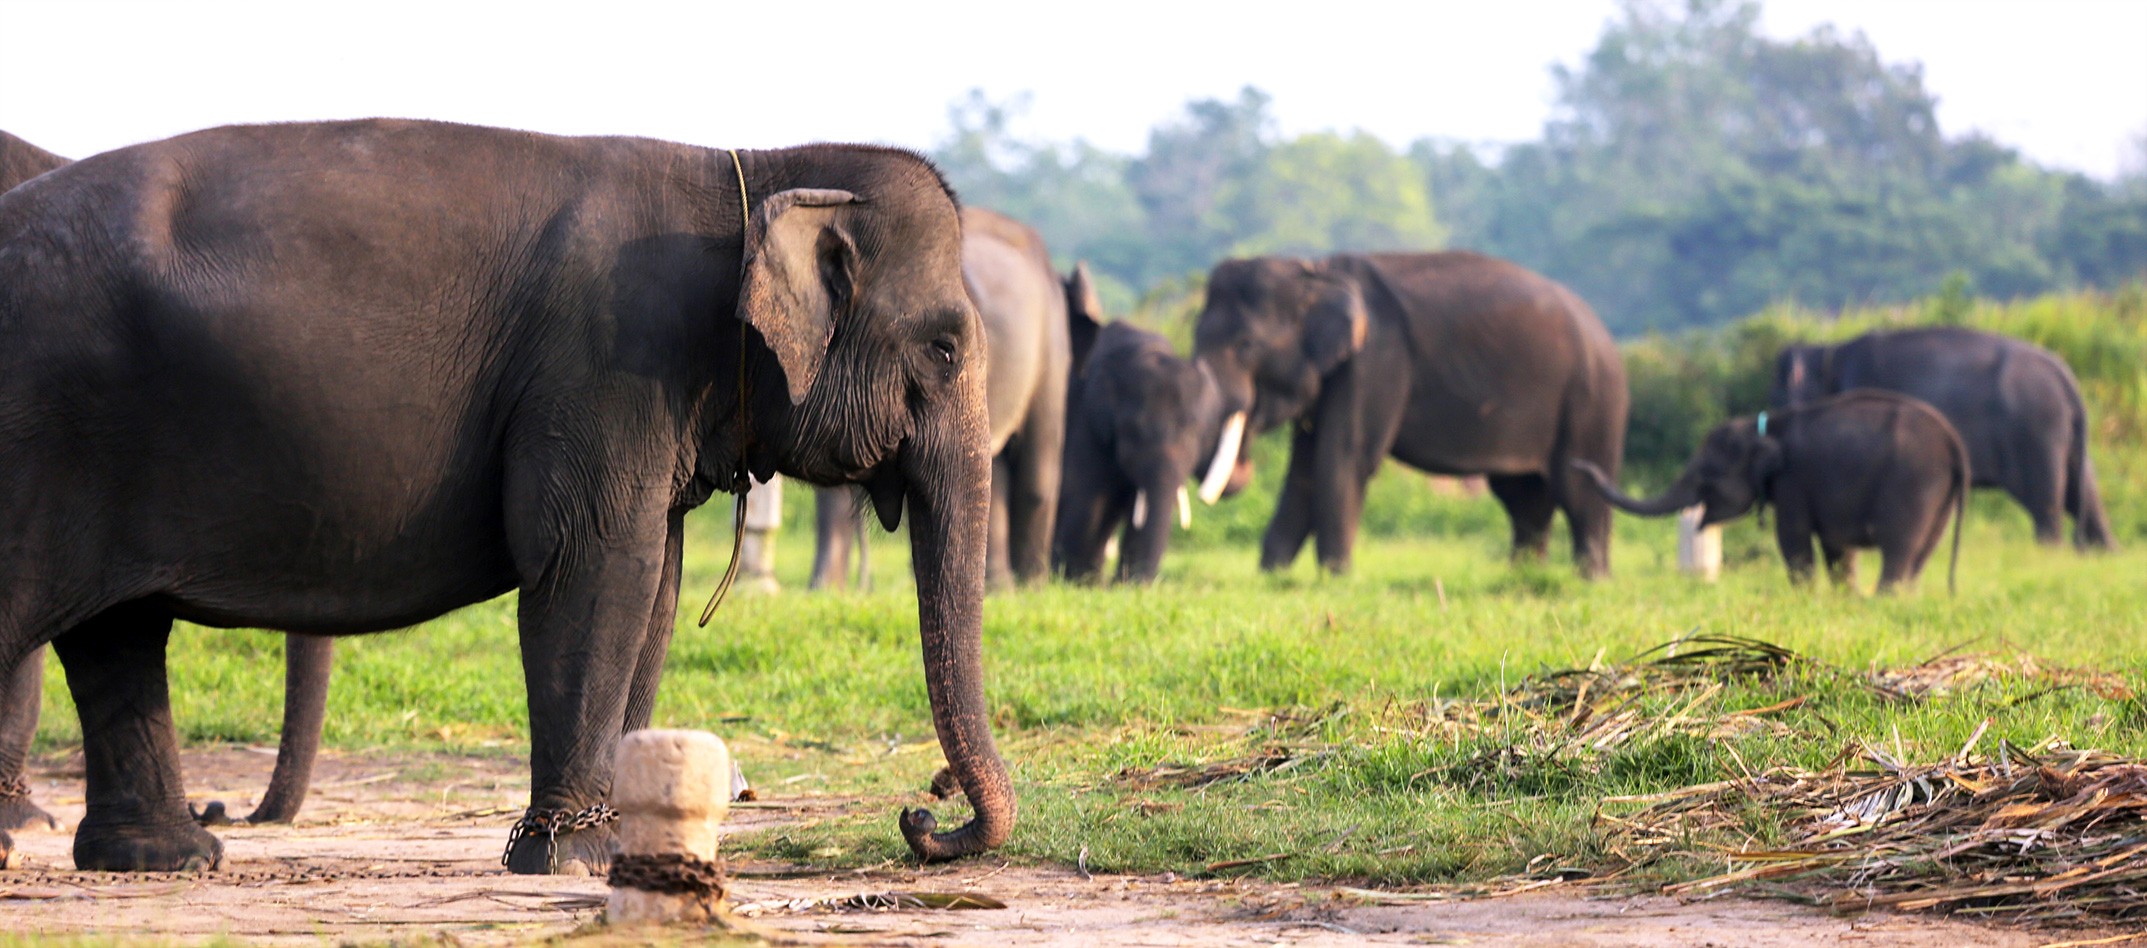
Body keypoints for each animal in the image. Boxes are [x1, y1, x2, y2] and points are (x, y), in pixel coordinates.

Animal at [0, 118, 1013, 875]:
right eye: (945, 348)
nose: (924, 809)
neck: (756, 167)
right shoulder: (606, 365)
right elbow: (596, 568)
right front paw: (572, 860)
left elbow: (654, 586)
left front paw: (620, 850)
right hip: (41, 431)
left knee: (118, 634)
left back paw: (166, 857)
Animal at [1193, 254, 1623, 579]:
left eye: (1246, 345)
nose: (1243, 464)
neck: (1315, 271)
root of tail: (1603, 331)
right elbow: (1304, 469)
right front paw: (1271, 576)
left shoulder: (1375, 362)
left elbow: (1344, 458)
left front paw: (1336, 578)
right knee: (1524, 498)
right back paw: (1524, 575)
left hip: (1592, 402)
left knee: (1578, 491)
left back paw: (1591, 580)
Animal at [1571, 388, 1966, 587]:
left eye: (1706, 475)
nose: (1579, 465)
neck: (1761, 427)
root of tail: (1952, 440)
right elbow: (1837, 548)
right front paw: (1843, 597)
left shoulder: (1794, 482)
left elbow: (1792, 538)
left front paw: (1807, 596)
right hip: (1938, 493)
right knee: (1921, 552)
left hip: (1913, 481)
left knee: (1899, 547)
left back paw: (1886, 597)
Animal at [1777, 326, 2112, 549]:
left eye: (1777, 394)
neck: (1828, 351)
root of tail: (2066, 377)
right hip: (2061, 433)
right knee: (2083, 491)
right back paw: (2104, 551)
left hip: (2036, 431)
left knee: (2046, 501)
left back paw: (2048, 552)